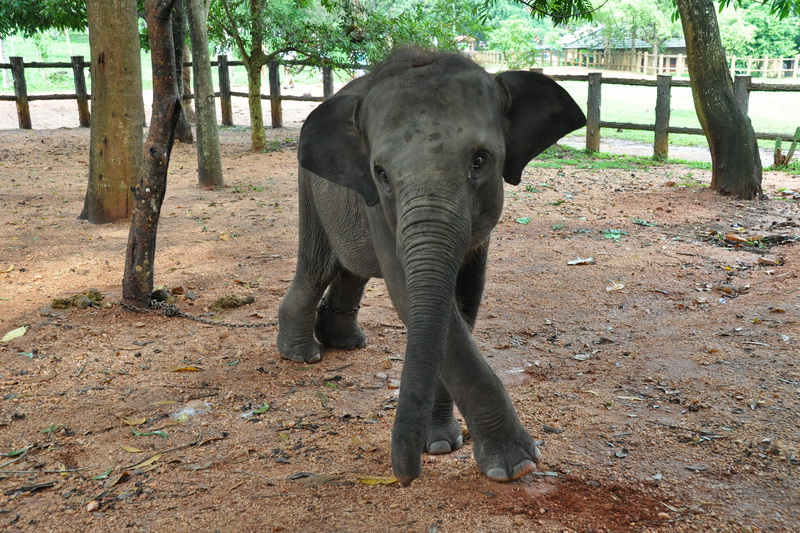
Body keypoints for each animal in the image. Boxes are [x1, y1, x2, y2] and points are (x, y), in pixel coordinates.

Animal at [278, 47, 584, 484]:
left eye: (479, 160)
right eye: (381, 173)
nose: (405, 478)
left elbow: (465, 300)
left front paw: (440, 444)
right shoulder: (377, 205)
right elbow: (407, 292)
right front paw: (515, 466)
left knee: (351, 270)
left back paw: (344, 342)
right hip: (309, 187)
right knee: (318, 266)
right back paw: (302, 355)